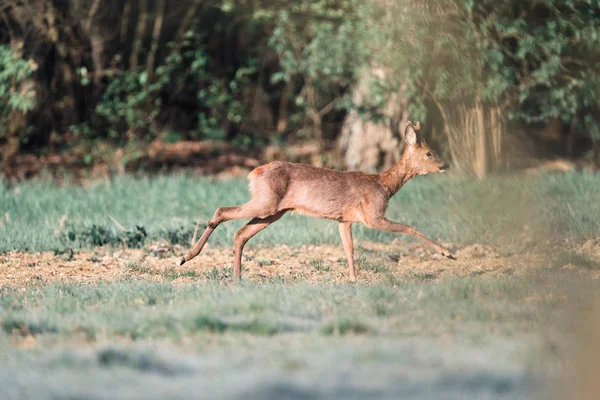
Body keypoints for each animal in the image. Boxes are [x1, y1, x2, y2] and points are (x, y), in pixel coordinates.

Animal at [180, 120, 458, 280]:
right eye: (429, 153)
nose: (445, 164)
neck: (385, 185)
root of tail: (253, 173)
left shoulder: (344, 220)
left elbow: (349, 248)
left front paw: (353, 279)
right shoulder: (373, 215)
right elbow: (409, 227)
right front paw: (448, 253)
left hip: (273, 211)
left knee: (240, 233)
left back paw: (237, 278)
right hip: (266, 202)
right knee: (222, 210)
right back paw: (188, 256)